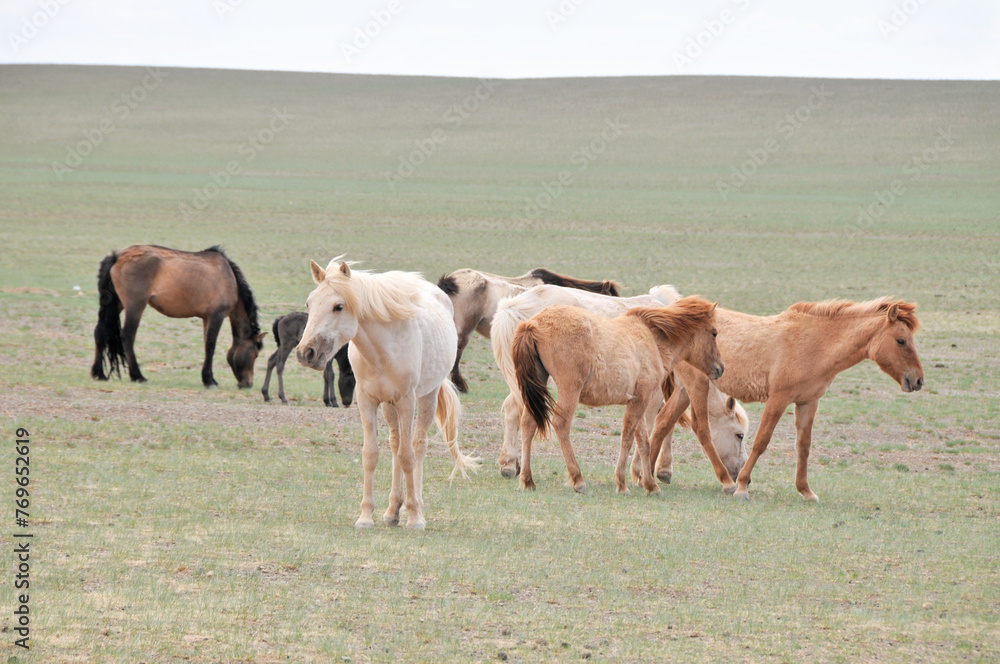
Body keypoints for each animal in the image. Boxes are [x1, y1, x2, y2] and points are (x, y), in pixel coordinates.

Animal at [90, 244, 266, 390]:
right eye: (255, 354)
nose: (248, 384)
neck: (230, 279)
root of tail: (118, 257)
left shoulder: (206, 318)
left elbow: (206, 345)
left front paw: (209, 378)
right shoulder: (217, 315)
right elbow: (211, 346)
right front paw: (209, 380)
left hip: (115, 304)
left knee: (100, 332)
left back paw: (99, 374)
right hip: (135, 307)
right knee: (127, 336)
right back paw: (137, 376)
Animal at [296, 256, 480, 532]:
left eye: (338, 306)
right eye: (309, 303)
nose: (306, 353)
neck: (383, 350)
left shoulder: (407, 401)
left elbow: (408, 456)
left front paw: (414, 518)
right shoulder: (367, 401)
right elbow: (371, 454)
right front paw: (366, 516)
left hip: (427, 396)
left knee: (417, 445)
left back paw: (417, 506)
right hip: (388, 405)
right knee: (395, 444)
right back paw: (393, 510)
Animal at [644, 298, 924, 500]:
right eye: (901, 341)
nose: (919, 380)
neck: (817, 344)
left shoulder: (808, 402)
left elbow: (804, 446)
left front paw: (806, 491)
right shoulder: (778, 399)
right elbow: (762, 441)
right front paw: (742, 486)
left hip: (684, 390)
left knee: (662, 423)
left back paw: (644, 475)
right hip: (698, 385)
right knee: (702, 430)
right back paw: (725, 482)